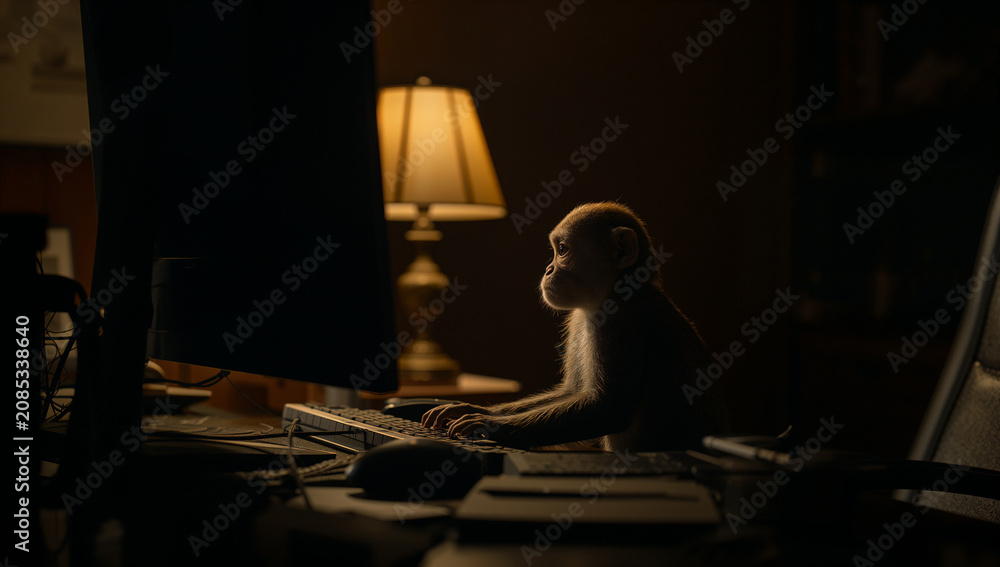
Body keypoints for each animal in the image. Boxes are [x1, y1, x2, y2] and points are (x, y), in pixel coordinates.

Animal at [421, 202, 728, 452]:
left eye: (562, 250)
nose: (547, 270)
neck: (611, 292)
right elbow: (572, 391)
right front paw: (477, 409)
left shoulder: (620, 317)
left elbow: (607, 409)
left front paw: (489, 426)